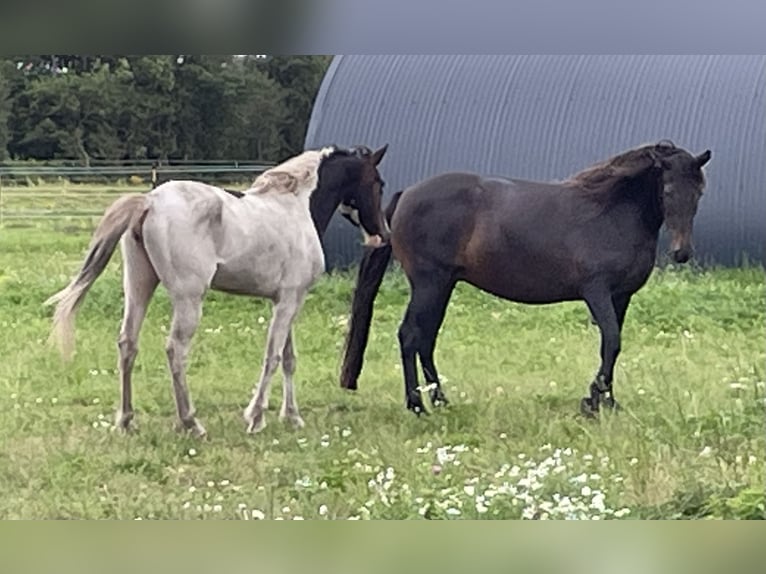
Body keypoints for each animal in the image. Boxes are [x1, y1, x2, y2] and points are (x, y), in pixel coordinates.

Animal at [45, 146, 390, 438]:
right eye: (378, 183)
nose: (383, 235)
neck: (296, 208)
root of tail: (150, 202)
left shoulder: (286, 300)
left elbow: (289, 358)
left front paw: (292, 417)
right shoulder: (290, 300)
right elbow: (273, 356)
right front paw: (256, 417)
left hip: (139, 287)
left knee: (128, 344)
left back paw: (127, 421)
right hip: (189, 299)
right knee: (175, 350)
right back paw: (191, 423)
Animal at [340, 141, 712, 418]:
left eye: (699, 191)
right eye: (667, 189)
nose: (682, 252)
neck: (610, 210)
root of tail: (406, 195)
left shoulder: (621, 297)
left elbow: (612, 346)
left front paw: (606, 400)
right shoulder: (597, 292)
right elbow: (611, 341)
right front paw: (593, 401)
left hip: (442, 286)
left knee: (426, 339)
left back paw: (442, 401)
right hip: (430, 283)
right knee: (410, 336)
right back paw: (416, 405)